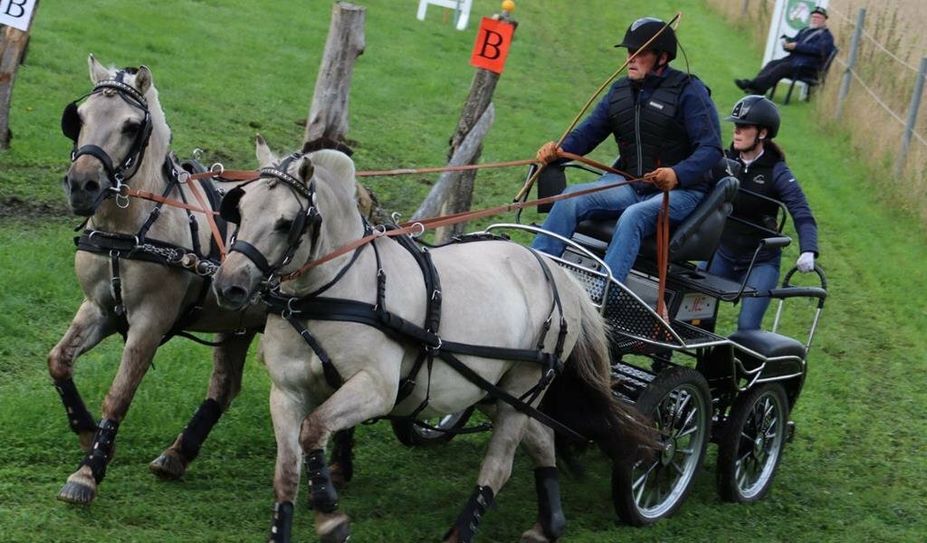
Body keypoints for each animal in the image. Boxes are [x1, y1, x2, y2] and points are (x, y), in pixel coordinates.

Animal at [49, 56, 266, 506]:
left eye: (131, 126)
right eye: (78, 118)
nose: (82, 185)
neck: (129, 230)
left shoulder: (150, 321)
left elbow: (119, 395)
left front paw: (88, 473)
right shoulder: (99, 308)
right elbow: (58, 361)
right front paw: (87, 433)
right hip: (238, 323)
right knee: (224, 387)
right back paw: (177, 455)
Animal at [215, 143, 656, 543]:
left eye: (286, 222)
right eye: (241, 208)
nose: (228, 286)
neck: (330, 293)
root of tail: (557, 271)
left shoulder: (376, 389)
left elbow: (314, 430)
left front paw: (330, 516)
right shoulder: (286, 393)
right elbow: (288, 472)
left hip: (523, 388)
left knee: (499, 466)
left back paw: (463, 532)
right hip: (495, 391)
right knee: (542, 439)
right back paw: (549, 524)